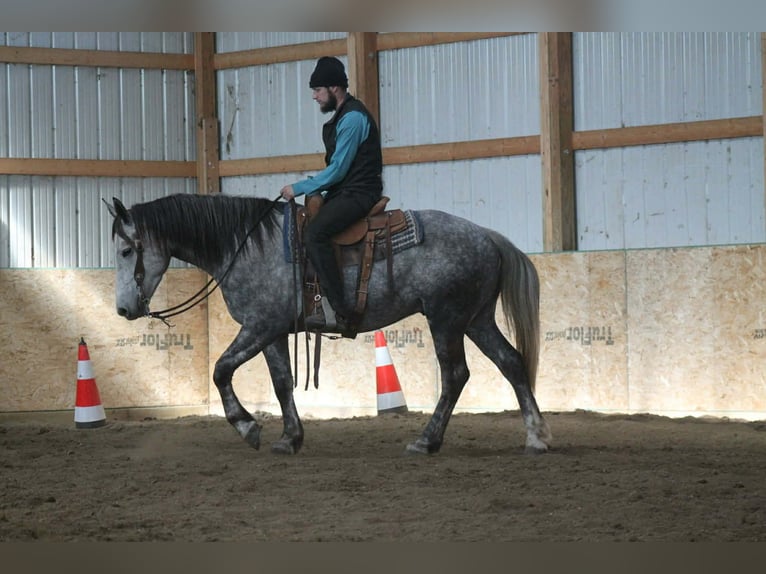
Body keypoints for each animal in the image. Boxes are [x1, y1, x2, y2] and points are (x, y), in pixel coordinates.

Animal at [106, 193, 552, 455]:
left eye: (127, 251)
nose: (124, 310)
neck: (247, 245)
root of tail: (489, 236)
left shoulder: (259, 326)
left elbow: (220, 370)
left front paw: (247, 427)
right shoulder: (272, 332)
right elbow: (281, 383)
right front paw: (290, 438)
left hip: (446, 319)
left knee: (455, 374)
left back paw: (427, 441)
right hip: (476, 319)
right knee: (511, 363)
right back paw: (536, 437)